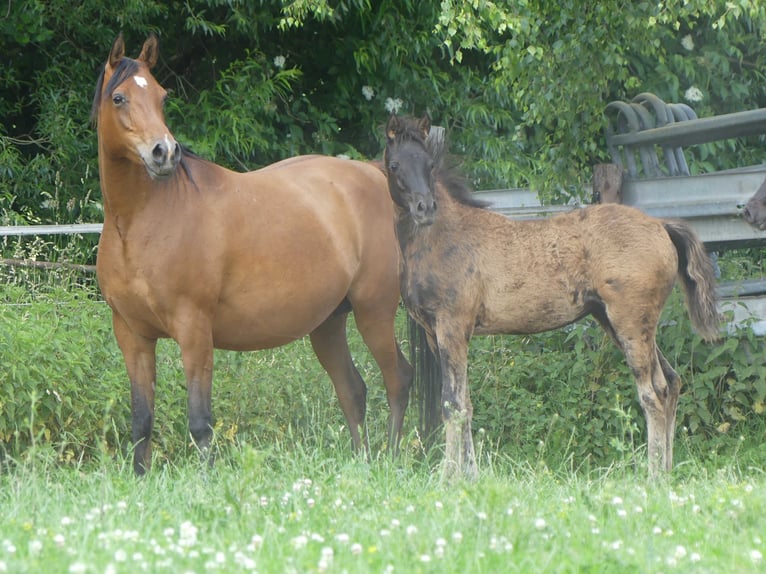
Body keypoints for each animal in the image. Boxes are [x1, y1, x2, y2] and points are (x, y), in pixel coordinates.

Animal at [91, 33, 412, 475]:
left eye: (161, 96)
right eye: (119, 97)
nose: (164, 153)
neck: (143, 221)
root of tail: (373, 173)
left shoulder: (194, 331)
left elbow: (200, 422)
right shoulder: (132, 334)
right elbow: (141, 421)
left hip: (374, 312)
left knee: (397, 381)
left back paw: (391, 459)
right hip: (328, 324)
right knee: (353, 390)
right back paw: (360, 462)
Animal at [383, 114, 721, 480]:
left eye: (430, 165)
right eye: (394, 164)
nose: (424, 208)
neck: (440, 237)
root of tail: (662, 226)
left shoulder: (452, 327)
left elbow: (452, 405)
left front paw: (448, 478)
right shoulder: (438, 335)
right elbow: (466, 403)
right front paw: (472, 475)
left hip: (630, 321)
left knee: (653, 393)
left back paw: (654, 476)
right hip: (618, 321)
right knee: (671, 382)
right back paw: (668, 472)